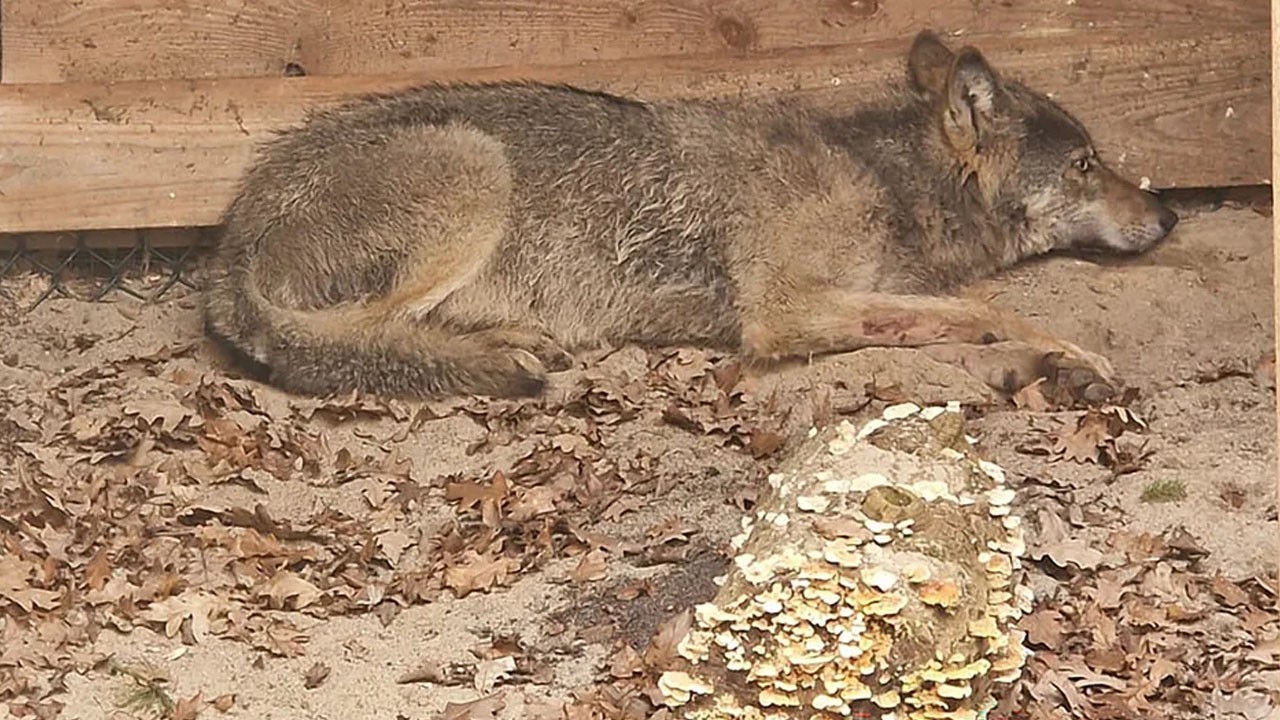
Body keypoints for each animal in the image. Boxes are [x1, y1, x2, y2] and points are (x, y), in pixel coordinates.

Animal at [202, 30, 1178, 401]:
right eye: (1088, 165)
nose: (1168, 213)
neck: (883, 178)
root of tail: (228, 244)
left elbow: (953, 315)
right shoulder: (782, 312)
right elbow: (987, 310)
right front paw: (1069, 356)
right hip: (475, 168)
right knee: (350, 340)